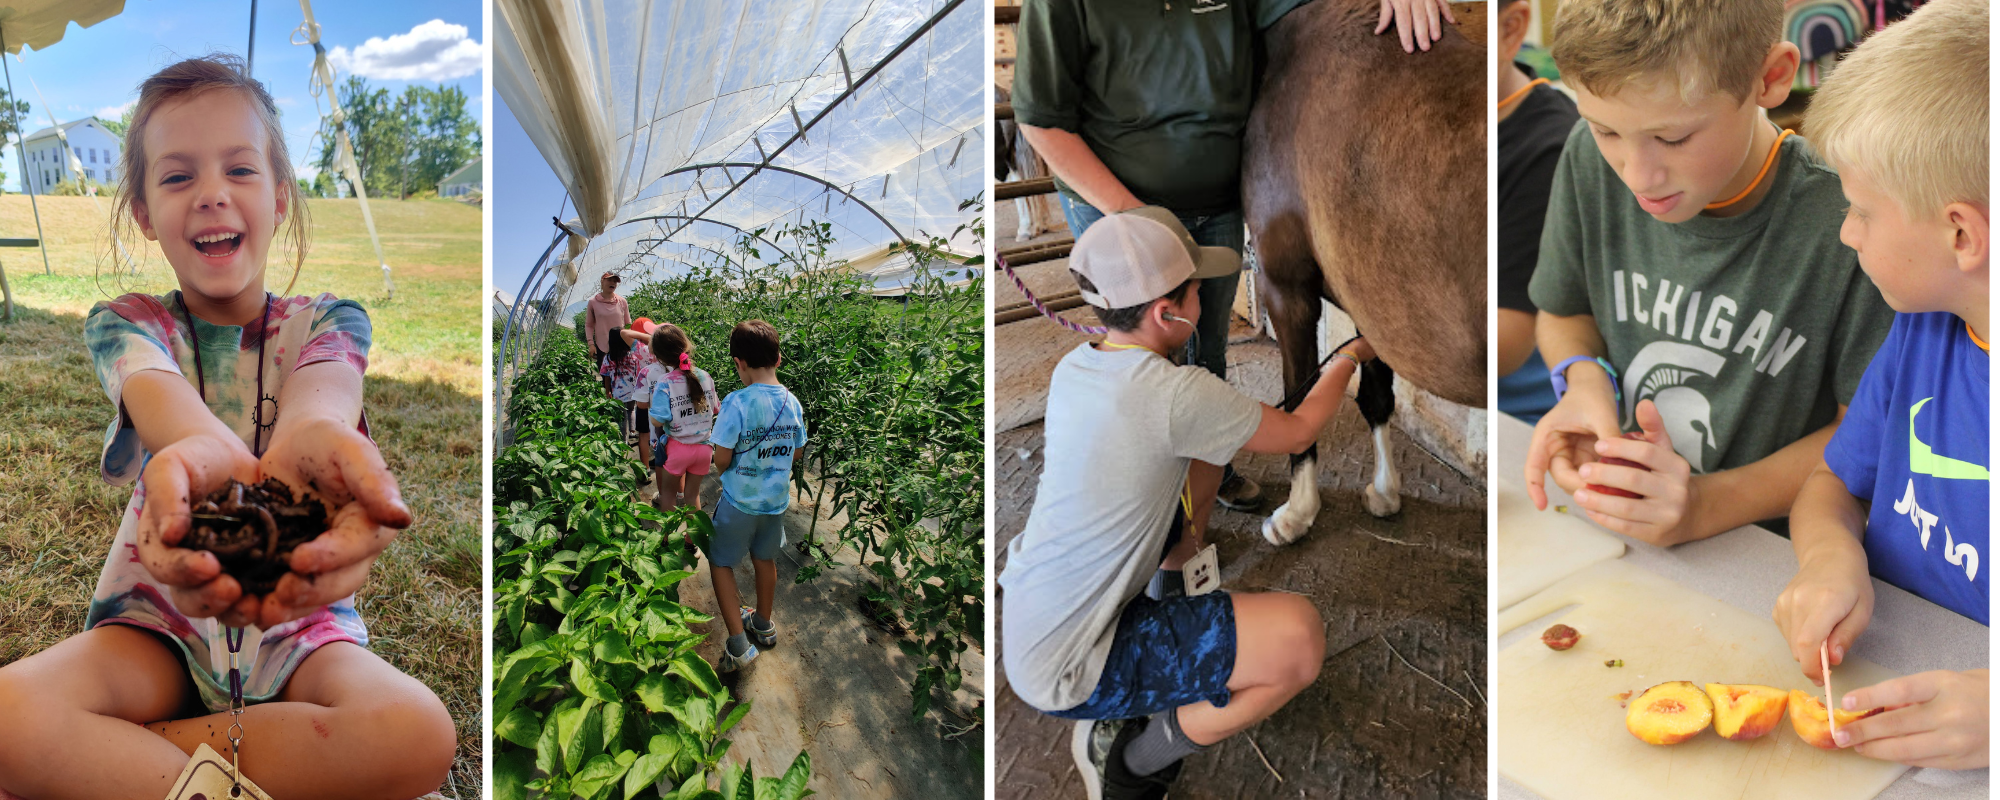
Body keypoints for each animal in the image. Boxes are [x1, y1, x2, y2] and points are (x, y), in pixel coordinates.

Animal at [1248, 0, 1488, 544]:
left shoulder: (1285, 288)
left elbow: (1300, 398)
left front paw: (1296, 513)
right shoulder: (1376, 306)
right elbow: (1377, 396)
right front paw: (1384, 492)